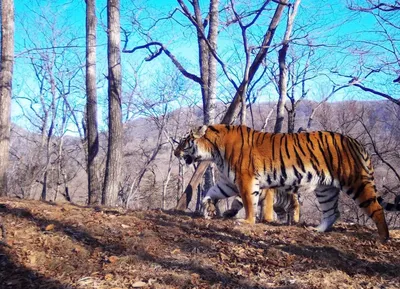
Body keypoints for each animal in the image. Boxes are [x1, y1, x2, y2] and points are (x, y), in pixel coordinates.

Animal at [174, 124, 400, 241]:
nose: (175, 153)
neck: (214, 151)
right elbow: (211, 191)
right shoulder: (229, 182)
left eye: (184, 141)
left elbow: (249, 202)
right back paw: (318, 230)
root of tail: (358, 143)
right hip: (326, 189)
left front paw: (246, 221)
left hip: (356, 182)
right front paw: (206, 208)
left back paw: (383, 237)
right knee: (332, 212)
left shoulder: (245, 179)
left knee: (377, 209)